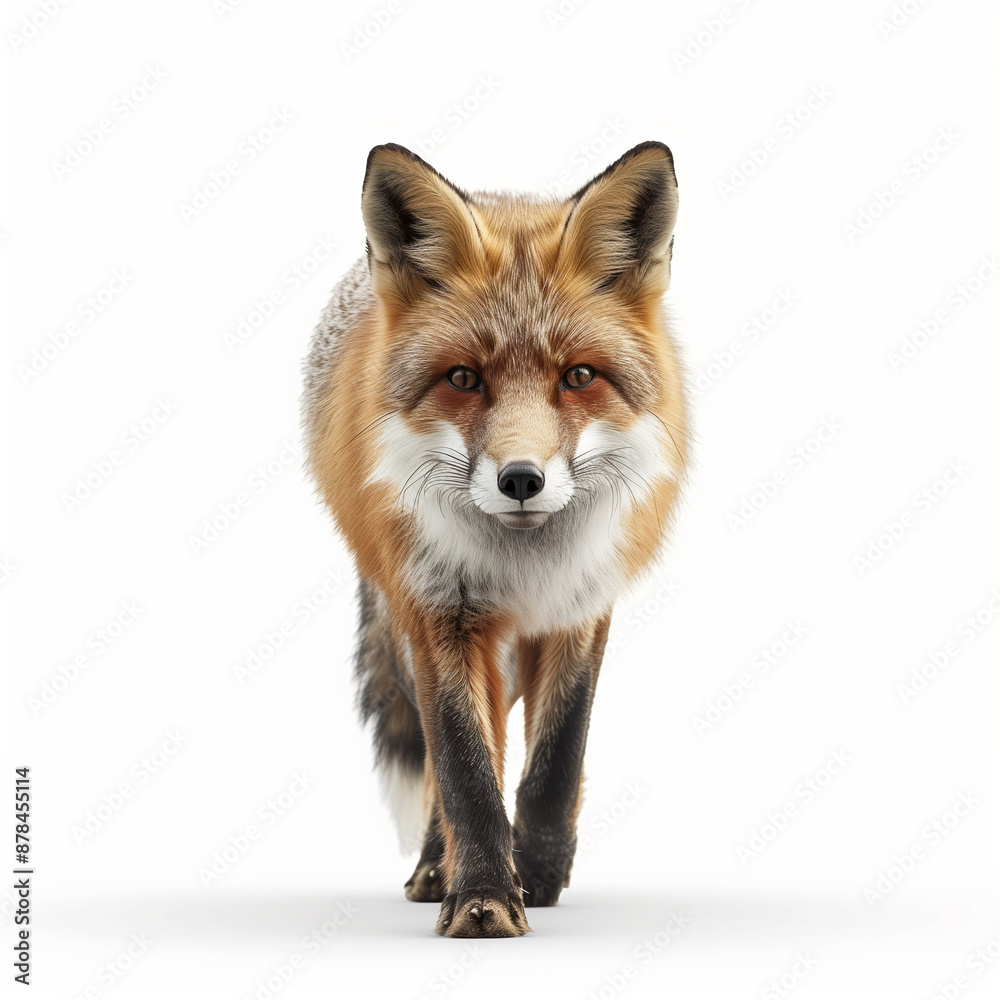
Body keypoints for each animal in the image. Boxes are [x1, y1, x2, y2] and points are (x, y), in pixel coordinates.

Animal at [302, 140, 689, 937]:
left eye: (579, 376)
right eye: (462, 378)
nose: (520, 479)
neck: (524, 565)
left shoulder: (581, 608)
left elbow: (555, 764)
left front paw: (535, 875)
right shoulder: (439, 609)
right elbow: (463, 765)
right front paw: (482, 895)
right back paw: (435, 867)